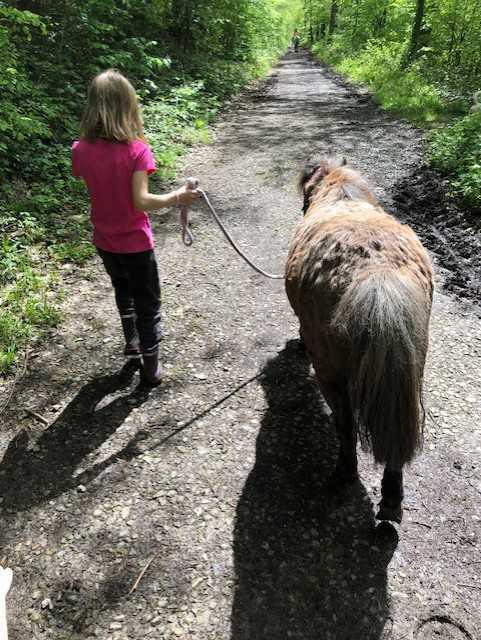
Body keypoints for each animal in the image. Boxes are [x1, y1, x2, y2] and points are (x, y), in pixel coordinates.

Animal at [285, 158, 433, 523]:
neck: (341, 195)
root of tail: (377, 271)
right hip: (410, 370)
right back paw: (391, 499)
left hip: (331, 374)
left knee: (346, 426)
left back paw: (344, 473)